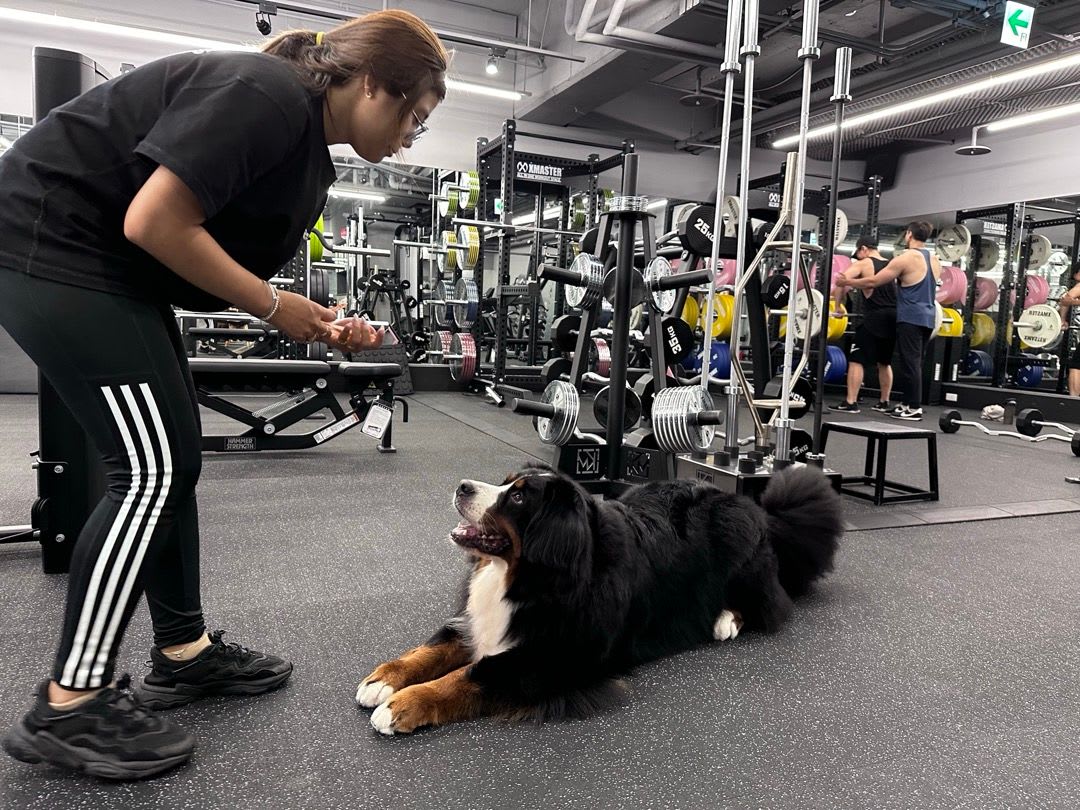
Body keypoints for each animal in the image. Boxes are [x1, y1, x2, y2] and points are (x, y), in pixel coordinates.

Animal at [356, 462, 842, 734]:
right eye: (505, 483)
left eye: (518, 497)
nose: (462, 485)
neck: (530, 575)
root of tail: (755, 508)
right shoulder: (481, 621)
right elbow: (431, 649)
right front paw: (383, 680)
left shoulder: (549, 660)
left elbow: (471, 675)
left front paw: (405, 704)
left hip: (741, 550)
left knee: (769, 603)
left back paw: (724, 620)